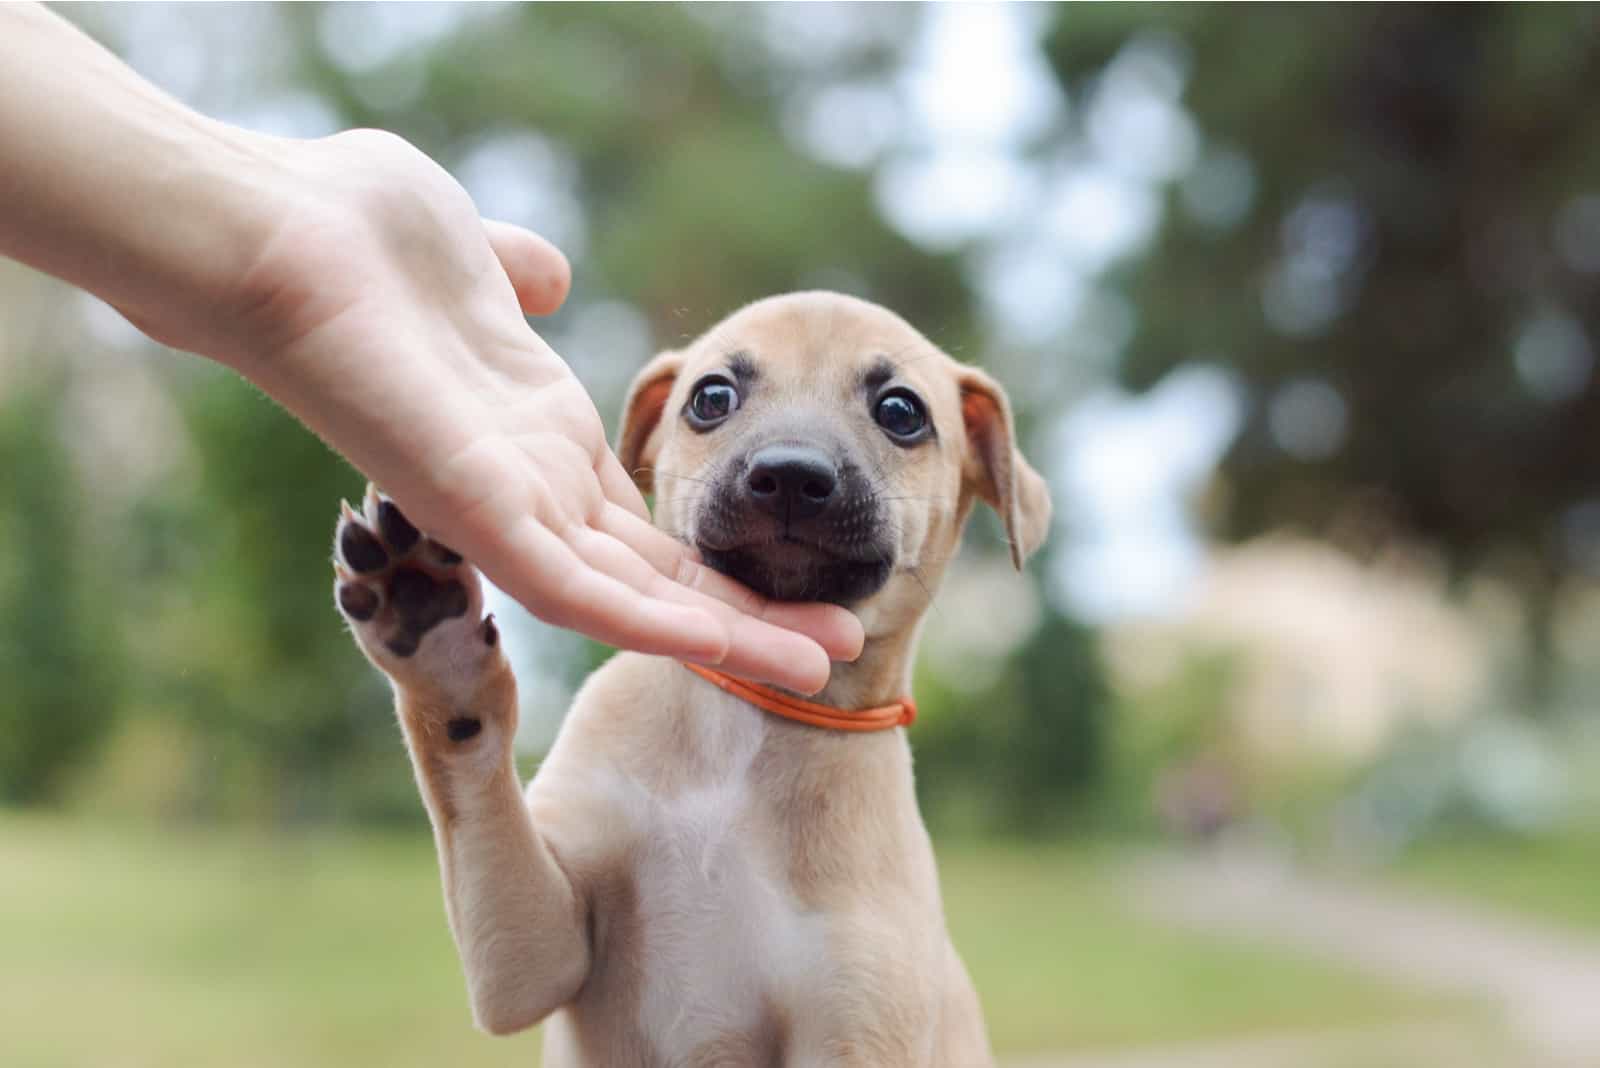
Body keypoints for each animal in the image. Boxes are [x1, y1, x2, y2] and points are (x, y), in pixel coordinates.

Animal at [328, 292, 1049, 1068]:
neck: (747, 728)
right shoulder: (535, 953)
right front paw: (435, 640)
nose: (790, 475)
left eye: (901, 411)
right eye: (711, 397)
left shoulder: (858, 1022)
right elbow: (470, 767)